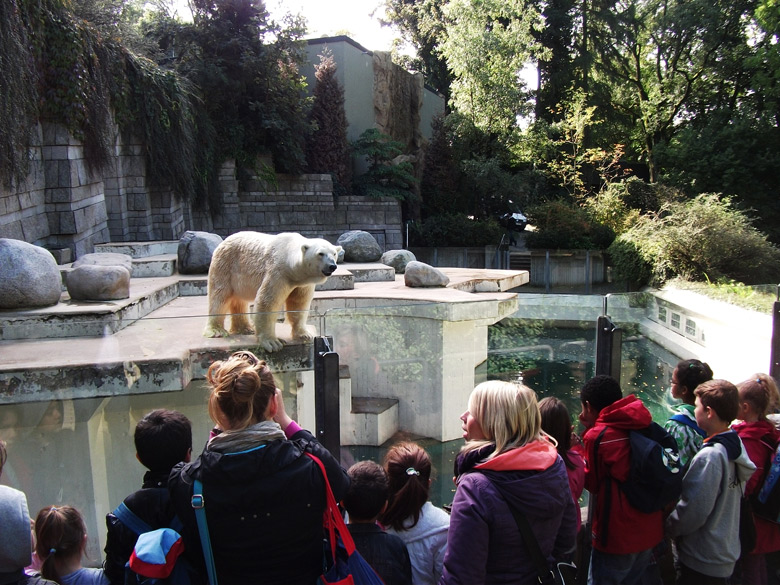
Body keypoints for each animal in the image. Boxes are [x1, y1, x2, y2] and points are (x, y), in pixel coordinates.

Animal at [204, 232, 342, 352]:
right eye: (320, 253)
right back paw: (217, 330)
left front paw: (304, 334)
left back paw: (246, 328)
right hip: (225, 266)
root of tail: (224, 241)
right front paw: (273, 343)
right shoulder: (278, 273)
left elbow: (299, 303)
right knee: (219, 296)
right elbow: (267, 302)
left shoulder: (303, 283)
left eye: (334, 253)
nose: (332, 266)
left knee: (239, 301)